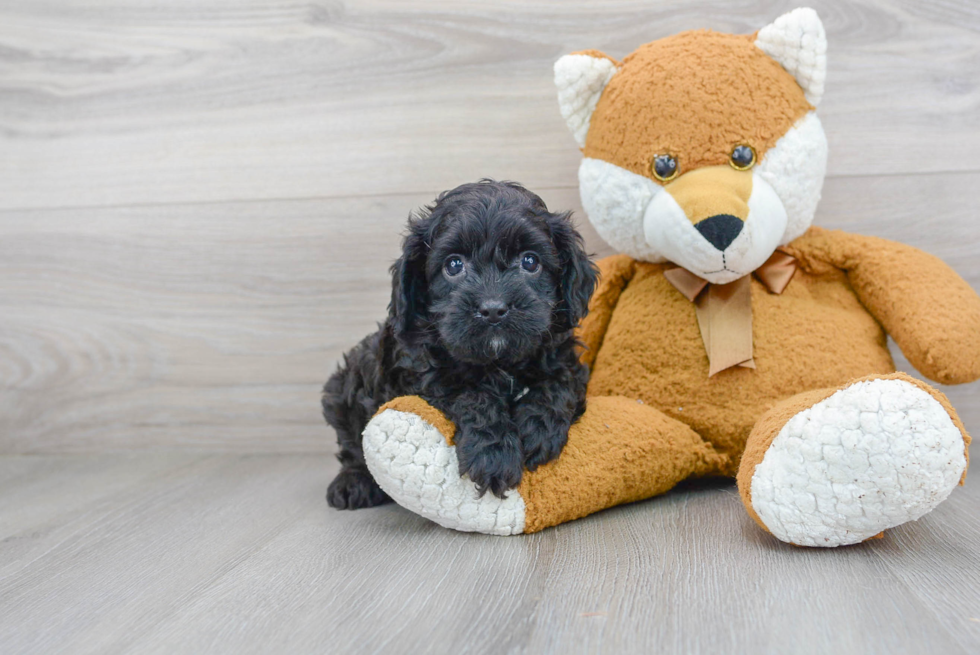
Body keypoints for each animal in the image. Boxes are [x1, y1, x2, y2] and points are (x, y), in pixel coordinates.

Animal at [324, 182, 596, 510]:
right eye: (454, 265)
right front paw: (493, 455)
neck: (499, 361)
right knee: (351, 445)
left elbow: (559, 382)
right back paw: (353, 484)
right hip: (343, 388)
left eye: (530, 261)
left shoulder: (564, 356)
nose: (493, 309)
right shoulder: (423, 373)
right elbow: (472, 394)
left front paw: (537, 429)